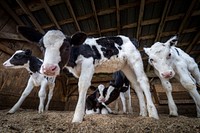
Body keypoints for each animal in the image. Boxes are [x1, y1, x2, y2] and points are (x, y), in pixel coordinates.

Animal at [17, 26, 158, 123]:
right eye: (42, 46)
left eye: (66, 46)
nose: (48, 69)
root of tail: (130, 38)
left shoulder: (88, 63)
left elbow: (83, 85)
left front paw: (77, 117)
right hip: (126, 67)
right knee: (137, 85)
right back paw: (143, 113)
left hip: (135, 59)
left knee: (143, 81)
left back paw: (153, 113)